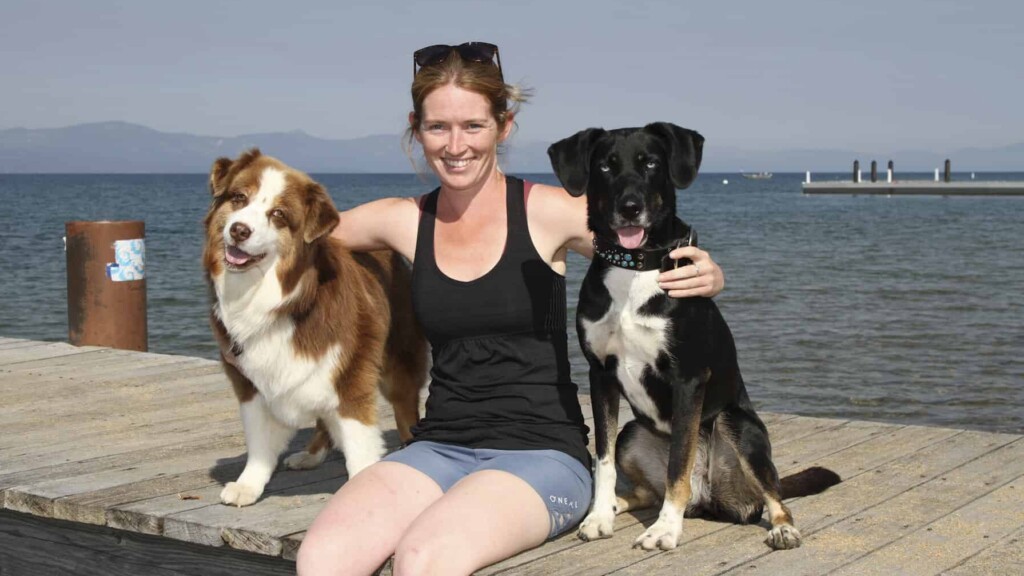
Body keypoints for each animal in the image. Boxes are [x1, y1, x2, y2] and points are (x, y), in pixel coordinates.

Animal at [201, 150, 425, 504]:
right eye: (238, 198)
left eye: (278, 214)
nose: (239, 230)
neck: (283, 302)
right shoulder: (249, 382)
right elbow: (259, 440)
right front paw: (249, 484)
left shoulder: (351, 377)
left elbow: (359, 446)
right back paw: (311, 454)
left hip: (397, 365)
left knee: (405, 412)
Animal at [552, 123, 839, 549]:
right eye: (605, 166)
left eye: (651, 163)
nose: (630, 207)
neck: (635, 268)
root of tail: (709, 496)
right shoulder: (600, 373)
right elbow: (602, 460)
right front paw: (600, 516)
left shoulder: (687, 378)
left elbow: (678, 464)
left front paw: (665, 530)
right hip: (633, 433)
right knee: (646, 490)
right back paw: (620, 505)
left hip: (739, 427)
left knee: (773, 493)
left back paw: (782, 527)